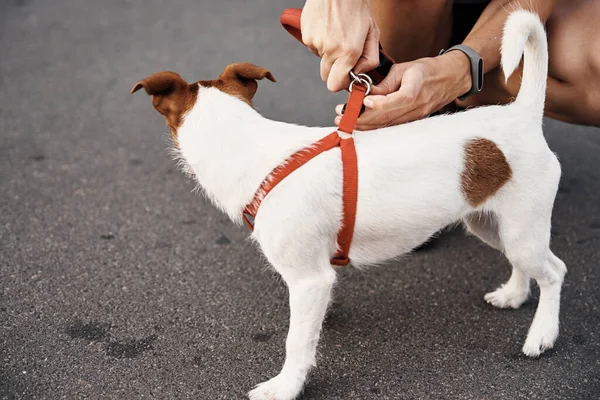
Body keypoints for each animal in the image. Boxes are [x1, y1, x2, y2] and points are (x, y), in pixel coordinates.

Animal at [131, 10, 568, 400]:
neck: (249, 146)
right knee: (523, 263)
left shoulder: (308, 280)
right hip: (492, 222)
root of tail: (521, 115)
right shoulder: (317, 278)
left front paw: (287, 387)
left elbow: (297, 342)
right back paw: (514, 294)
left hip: (521, 227)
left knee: (554, 271)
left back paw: (542, 333)